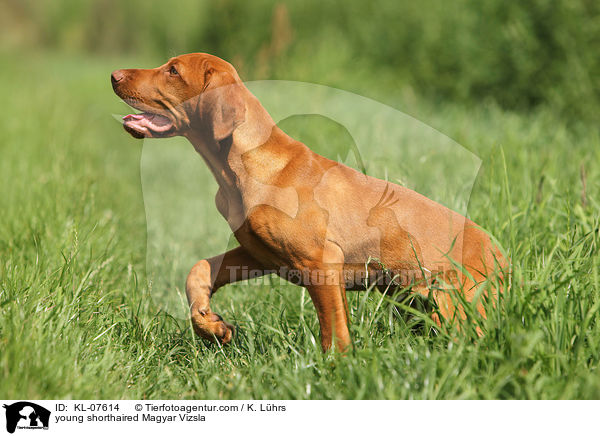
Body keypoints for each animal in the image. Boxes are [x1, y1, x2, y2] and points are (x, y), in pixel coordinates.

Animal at [112, 52, 506, 352]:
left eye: (173, 70)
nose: (114, 75)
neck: (240, 168)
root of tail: (502, 255)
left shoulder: (322, 262)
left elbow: (334, 330)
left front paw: (337, 370)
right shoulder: (258, 254)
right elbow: (198, 270)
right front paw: (211, 325)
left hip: (455, 307)